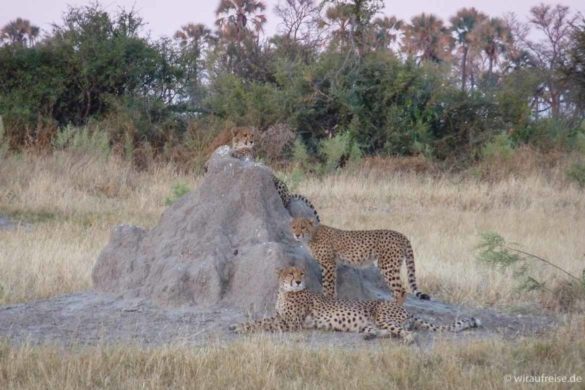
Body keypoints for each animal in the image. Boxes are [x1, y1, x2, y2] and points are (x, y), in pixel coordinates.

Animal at [230, 266, 482, 342]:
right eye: (290, 273)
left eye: (300, 272)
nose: (298, 280)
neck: (286, 291)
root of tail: (403, 308)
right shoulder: (283, 318)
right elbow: (260, 319)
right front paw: (237, 324)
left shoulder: (289, 322)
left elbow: (261, 323)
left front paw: (239, 327)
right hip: (371, 322)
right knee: (385, 331)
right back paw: (369, 335)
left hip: (382, 314)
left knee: (407, 333)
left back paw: (407, 340)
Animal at [288, 216, 428, 304]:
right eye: (294, 226)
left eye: (303, 227)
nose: (297, 235)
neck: (312, 235)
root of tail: (401, 234)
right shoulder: (331, 265)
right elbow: (331, 285)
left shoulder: (328, 264)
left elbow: (328, 285)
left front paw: (327, 300)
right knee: (395, 291)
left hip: (387, 266)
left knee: (401, 291)